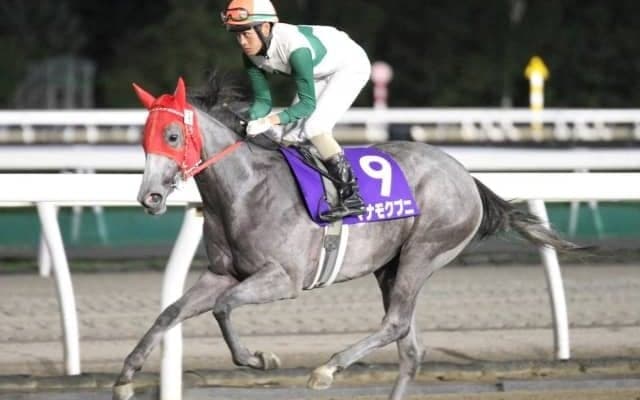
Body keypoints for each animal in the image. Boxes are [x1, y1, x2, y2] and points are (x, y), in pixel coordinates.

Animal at [112, 75, 580, 400]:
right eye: (143, 141)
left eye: (172, 136)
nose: (149, 196)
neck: (247, 188)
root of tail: (466, 176)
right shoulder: (223, 273)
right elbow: (169, 313)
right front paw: (126, 376)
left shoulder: (284, 278)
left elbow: (224, 308)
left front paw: (260, 359)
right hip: (389, 267)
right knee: (410, 349)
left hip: (424, 251)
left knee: (396, 324)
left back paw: (326, 369)